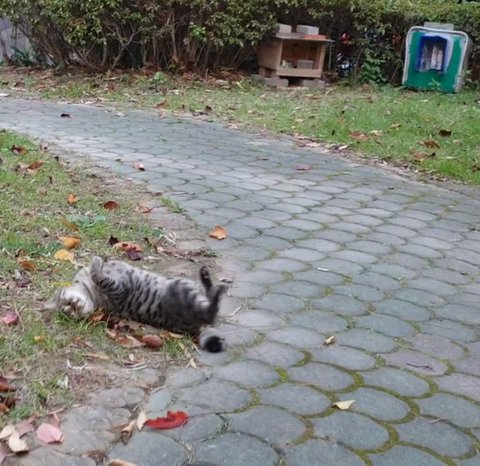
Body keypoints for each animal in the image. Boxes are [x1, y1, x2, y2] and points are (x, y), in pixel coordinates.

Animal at [45, 256, 228, 352]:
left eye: (66, 304)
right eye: (67, 310)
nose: (71, 308)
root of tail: (196, 328)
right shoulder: (118, 290)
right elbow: (101, 277)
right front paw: (96, 265)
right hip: (180, 288)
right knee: (212, 311)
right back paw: (214, 285)